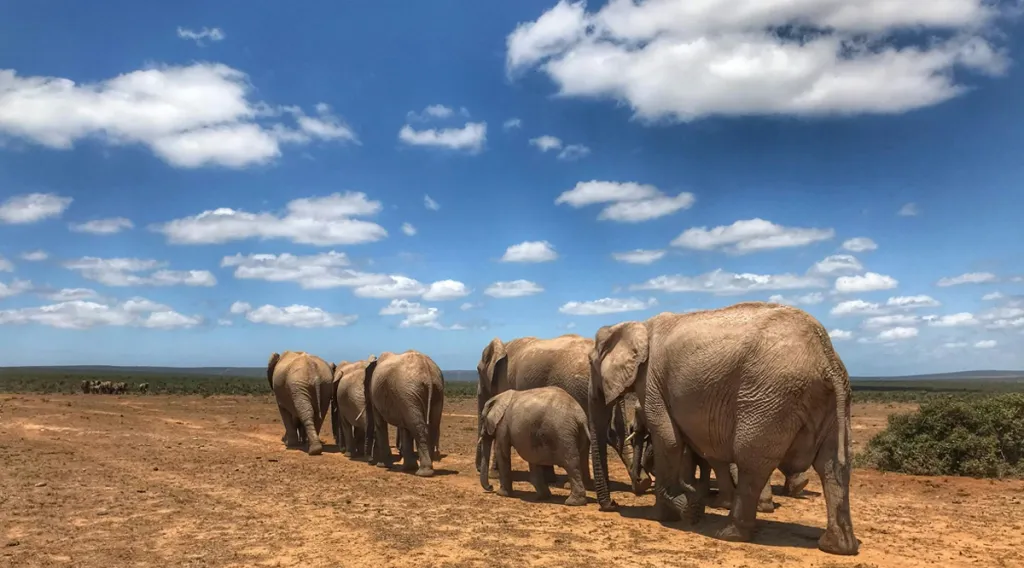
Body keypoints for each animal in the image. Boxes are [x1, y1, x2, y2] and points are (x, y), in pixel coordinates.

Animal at [473, 333, 647, 493]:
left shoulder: (504, 381)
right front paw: (549, 478)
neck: (504, 344)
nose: (489, 485)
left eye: (478, 371)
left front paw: (495, 475)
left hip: (578, 389)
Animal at [585, 302, 856, 556]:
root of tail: (826, 357)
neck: (635, 325)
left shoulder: (652, 382)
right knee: (833, 467)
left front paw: (666, 515)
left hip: (771, 397)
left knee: (751, 462)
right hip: (830, 398)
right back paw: (838, 547)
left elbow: (669, 441)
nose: (613, 504)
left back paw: (729, 533)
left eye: (590, 362)